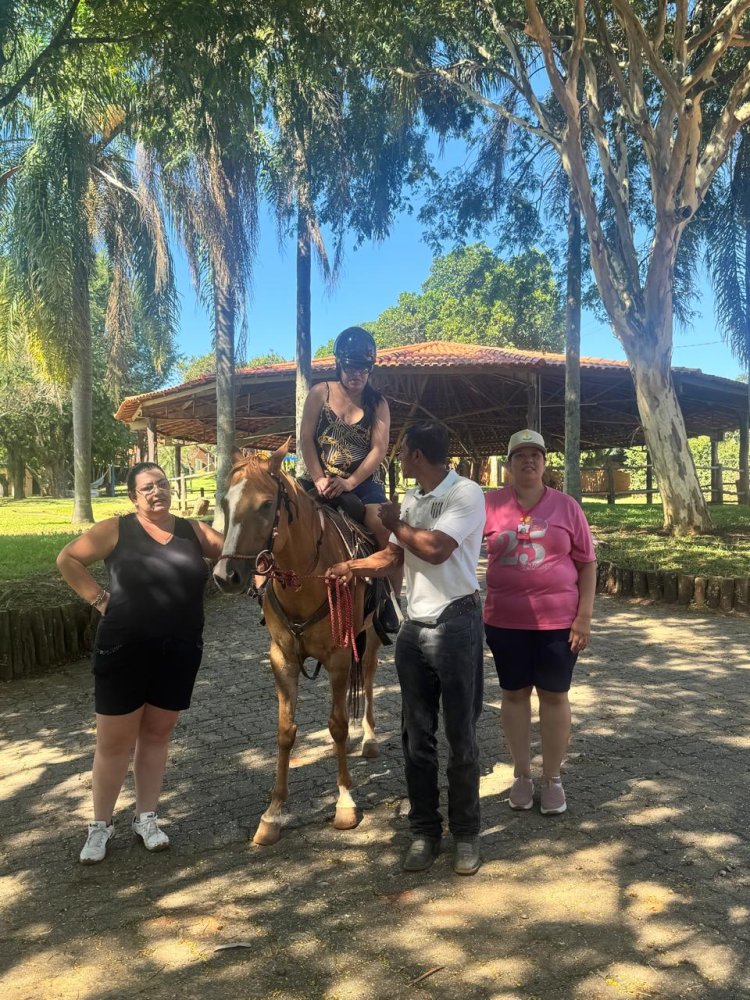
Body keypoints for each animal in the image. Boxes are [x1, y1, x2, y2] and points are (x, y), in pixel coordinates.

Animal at [213, 444, 382, 844]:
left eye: (265, 504)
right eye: (224, 503)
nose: (225, 576)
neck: (308, 577)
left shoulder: (339, 656)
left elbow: (337, 724)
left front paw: (345, 802)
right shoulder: (282, 658)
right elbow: (285, 731)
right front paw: (273, 813)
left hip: (370, 636)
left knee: (367, 680)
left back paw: (368, 738)